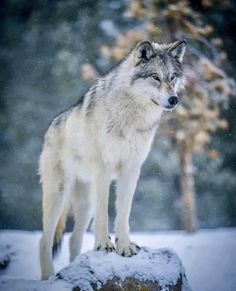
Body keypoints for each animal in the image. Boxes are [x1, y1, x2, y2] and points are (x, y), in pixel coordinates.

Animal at [38, 40, 186, 280]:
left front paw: (124, 246)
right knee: (45, 239)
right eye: (155, 77)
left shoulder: (131, 170)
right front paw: (103, 244)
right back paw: (49, 276)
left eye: (172, 77)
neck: (132, 116)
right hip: (58, 195)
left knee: (74, 239)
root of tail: (51, 126)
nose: (174, 99)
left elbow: (123, 213)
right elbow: (105, 212)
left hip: (85, 203)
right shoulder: (104, 169)